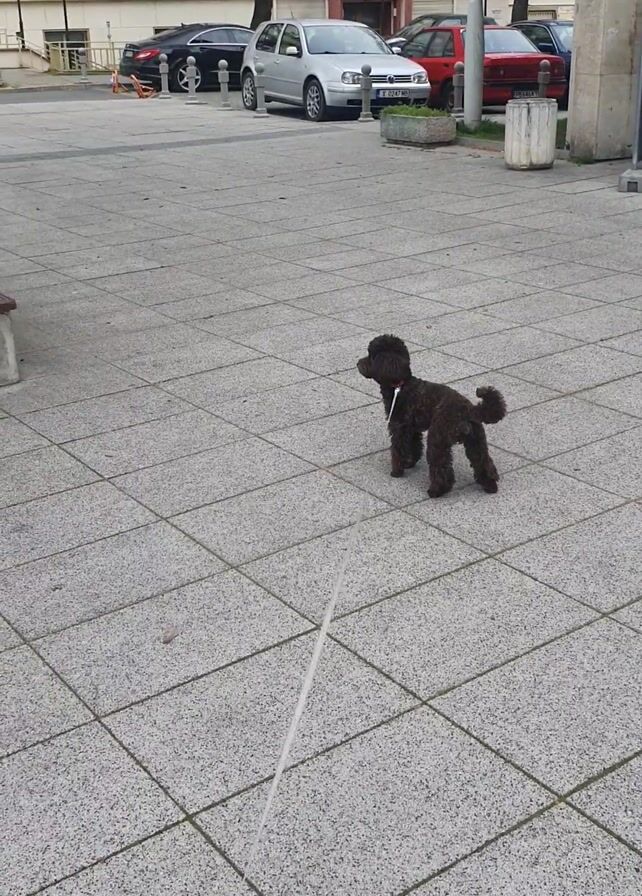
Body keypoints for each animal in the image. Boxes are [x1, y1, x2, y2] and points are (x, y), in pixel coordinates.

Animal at [357, 334, 507, 498]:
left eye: (371, 356)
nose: (358, 363)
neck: (401, 385)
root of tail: (469, 410)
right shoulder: (412, 429)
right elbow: (414, 446)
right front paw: (410, 462)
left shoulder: (399, 427)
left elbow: (399, 449)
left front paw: (397, 471)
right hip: (476, 441)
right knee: (484, 462)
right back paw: (490, 486)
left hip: (437, 440)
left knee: (441, 468)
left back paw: (436, 490)